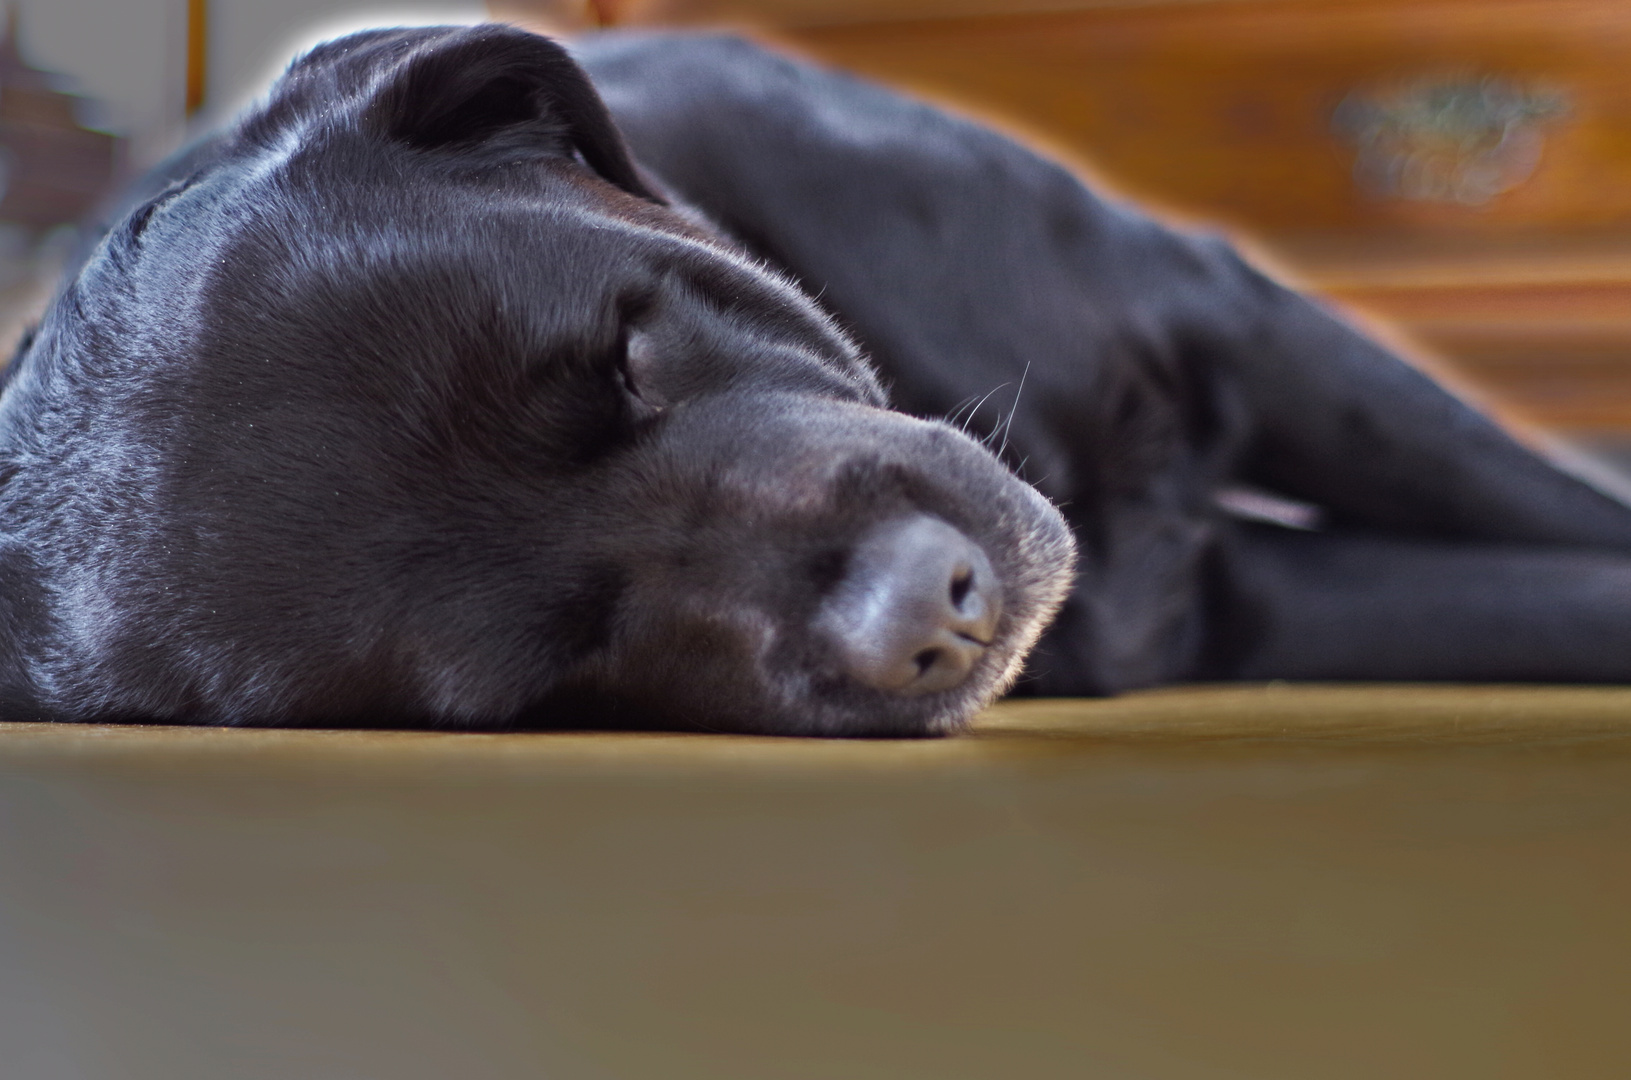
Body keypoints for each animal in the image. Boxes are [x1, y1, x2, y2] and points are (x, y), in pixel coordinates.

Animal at [3, 25, 1631, 737]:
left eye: (632, 353)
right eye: (559, 657)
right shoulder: (1236, 607)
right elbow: (1555, 597)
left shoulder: (1233, 320)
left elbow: (1553, 513)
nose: (926, 613)